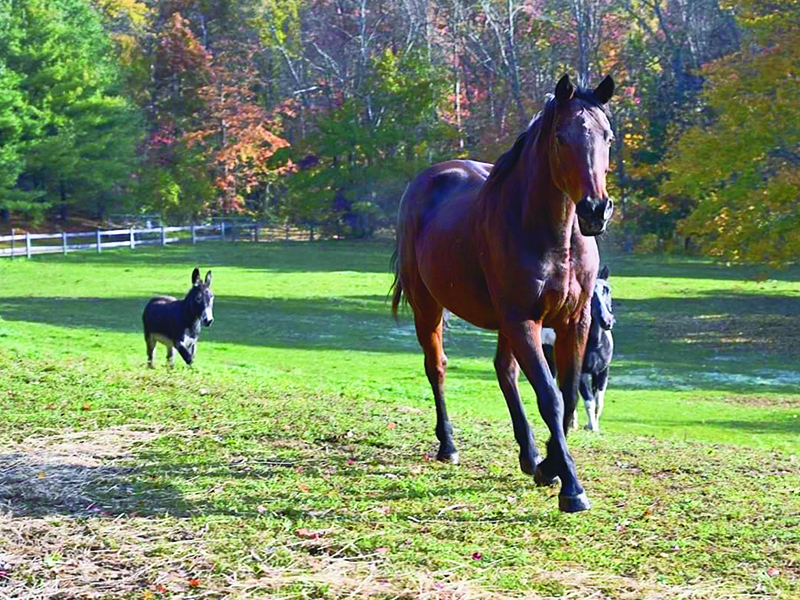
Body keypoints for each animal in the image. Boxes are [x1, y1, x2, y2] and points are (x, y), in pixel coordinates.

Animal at [390, 74, 616, 510]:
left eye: (608, 136)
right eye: (561, 137)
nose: (595, 210)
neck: (553, 238)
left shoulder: (573, 321)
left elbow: (568, 396)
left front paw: (548, 466)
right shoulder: (523, 319)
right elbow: (550, 397)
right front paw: (571, 488)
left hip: (504, 323)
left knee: (504, 371)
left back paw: (529, 455)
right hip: (430, 307)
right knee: (437, 367)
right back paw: (448, 446)